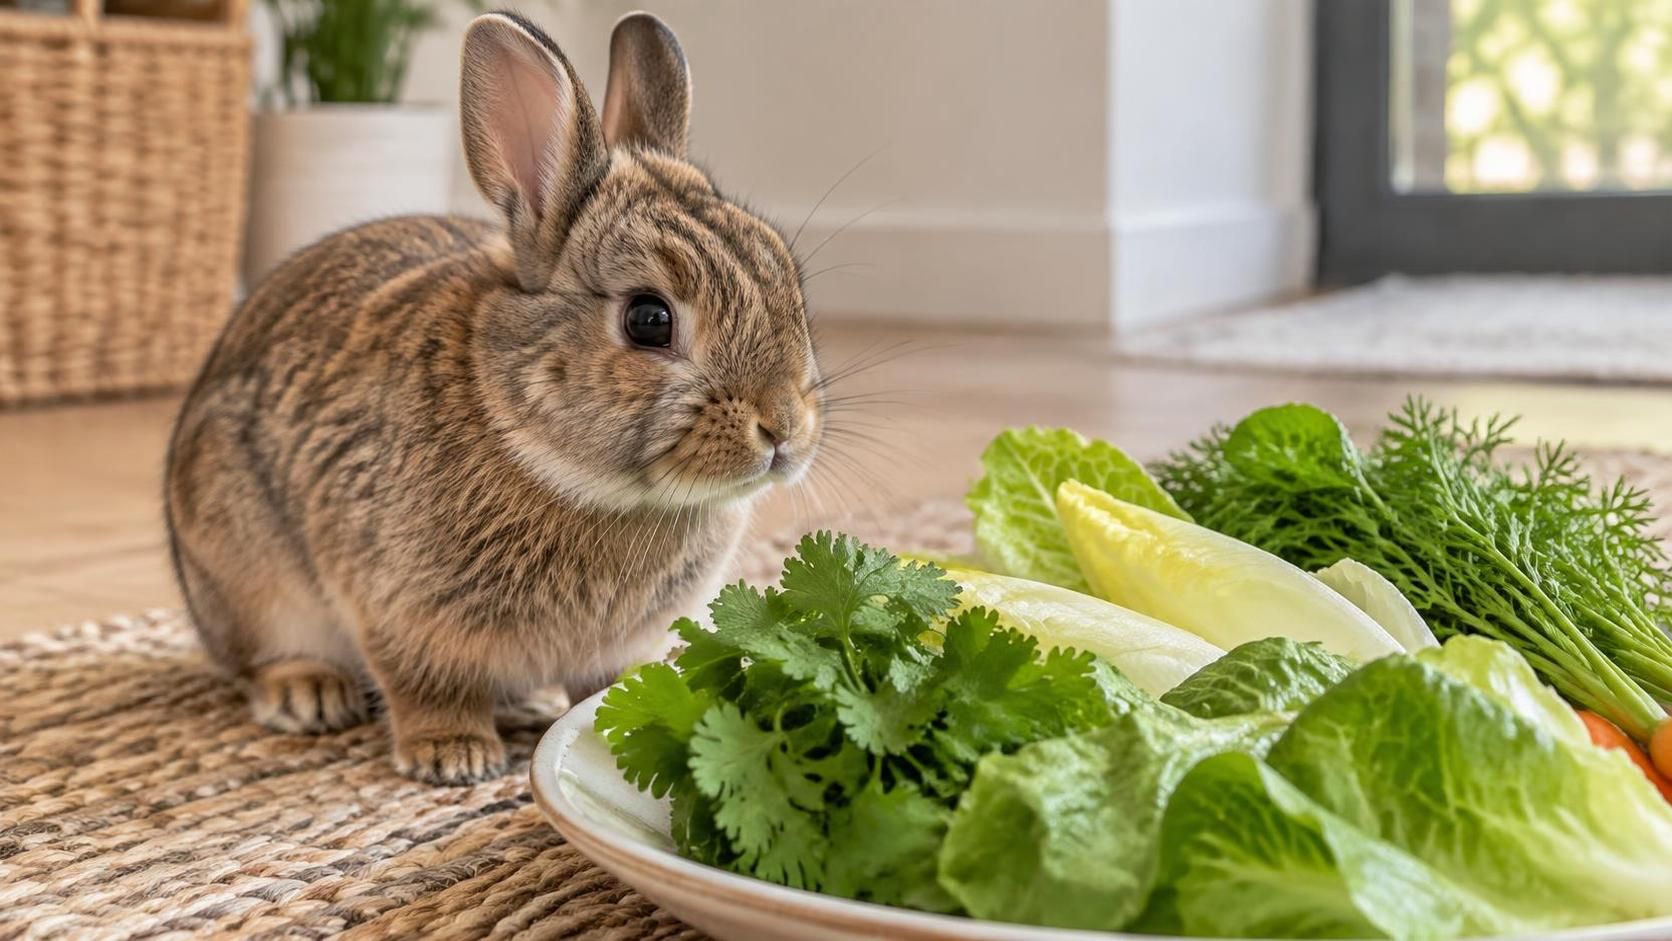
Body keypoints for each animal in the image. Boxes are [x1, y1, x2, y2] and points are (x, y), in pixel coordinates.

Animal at [164, 10, 822, 785]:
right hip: (246, 573)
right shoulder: (398, 609)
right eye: (648, 319)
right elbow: (424, 683)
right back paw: (308, 692)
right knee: (255, 658)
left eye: (788, 278)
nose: (783, 428)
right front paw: (453, 755)